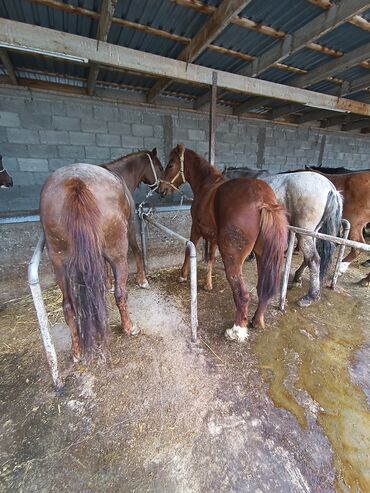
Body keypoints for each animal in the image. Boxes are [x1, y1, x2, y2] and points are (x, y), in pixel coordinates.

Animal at [39, 148, 163, 360]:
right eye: (160, 167)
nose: (163, 189)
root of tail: (76, 184)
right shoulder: (130, 229)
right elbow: (137, 251)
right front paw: (142, 280)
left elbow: (103, 267)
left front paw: (107, 283)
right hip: (118, 252)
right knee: (121, 294)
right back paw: (129, 328)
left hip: (59, 264)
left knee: (68, 307)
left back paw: (77, 351)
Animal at [158, 144, 286, 340]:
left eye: (171, 165)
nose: (161, 190)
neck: (207, 185)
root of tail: (264, 202)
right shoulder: (214, 238)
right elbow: (210, 258)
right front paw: (208, 284)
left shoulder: (196, 229)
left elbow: (188, 250)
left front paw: (183, 275)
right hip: (262, 255)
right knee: (262, 288)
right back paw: (257, 321)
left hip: (232, 258)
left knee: (242, 294)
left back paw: (237, 330)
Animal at [224, 166, 342, 304]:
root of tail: (331, 189)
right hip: (312, 233)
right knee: (309, 258)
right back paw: (298, 278)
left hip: (304, 232)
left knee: (313, 259)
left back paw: (310, 296)